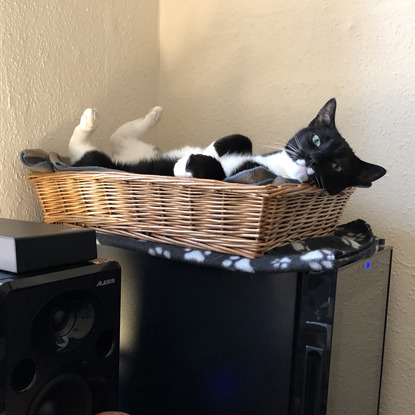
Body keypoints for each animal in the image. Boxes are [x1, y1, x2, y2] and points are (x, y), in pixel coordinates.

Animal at [69, 98, 386, 195]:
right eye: (316, 139)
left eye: (335, 167)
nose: (311, 158)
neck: (277, 165)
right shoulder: (251, 149)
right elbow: (239, 139)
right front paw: (212, 148)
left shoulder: (244, 179)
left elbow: (216, 172)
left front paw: (187, 165)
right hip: (128, 146)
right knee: (115, 135)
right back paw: (151, 114)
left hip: (100, 160)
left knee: (83, 150)